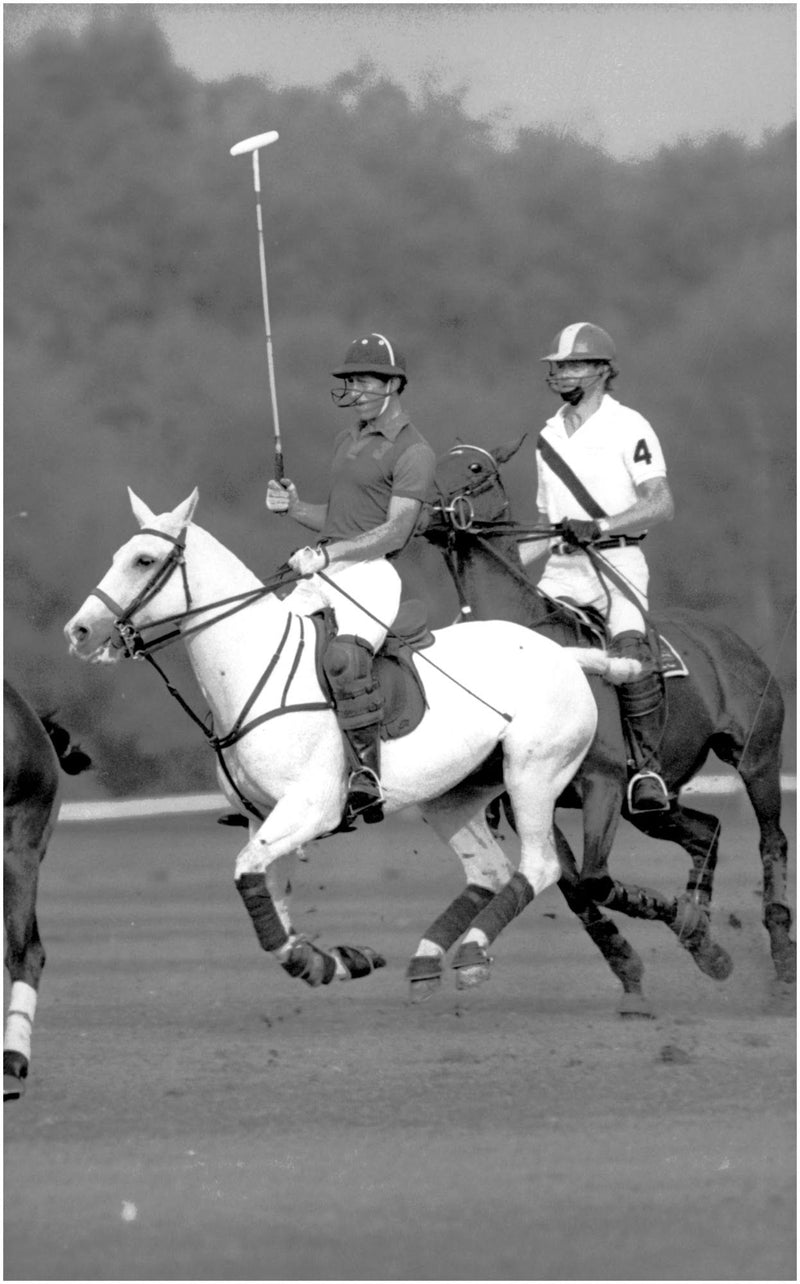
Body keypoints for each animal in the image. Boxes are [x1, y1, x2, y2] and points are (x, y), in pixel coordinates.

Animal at [62, 485, 642, 996]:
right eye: (119, 555)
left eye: (143, 560)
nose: (79, 632)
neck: (252, 666)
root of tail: (567, 654)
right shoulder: (261, 816)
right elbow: (270, 904)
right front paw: (335, 961)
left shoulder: (310, 807)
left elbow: (248, 872)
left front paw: (324, 959)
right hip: (452, 795)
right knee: (490, 869)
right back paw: (426, 960)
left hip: (534, 772)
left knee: (538, 866)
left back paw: (473, 954)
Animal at [418, 441, 796, 991]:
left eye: (474, 466)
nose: (422, 508)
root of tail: (727, 638)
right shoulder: (528, 796)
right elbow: (575, 886)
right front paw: (658, 952)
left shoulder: (603, 781)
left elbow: (595, 881)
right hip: (652, 804)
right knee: (706, 830)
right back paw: (702, 928)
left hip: (756, 757)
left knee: (773, 839)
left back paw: (781, 952)